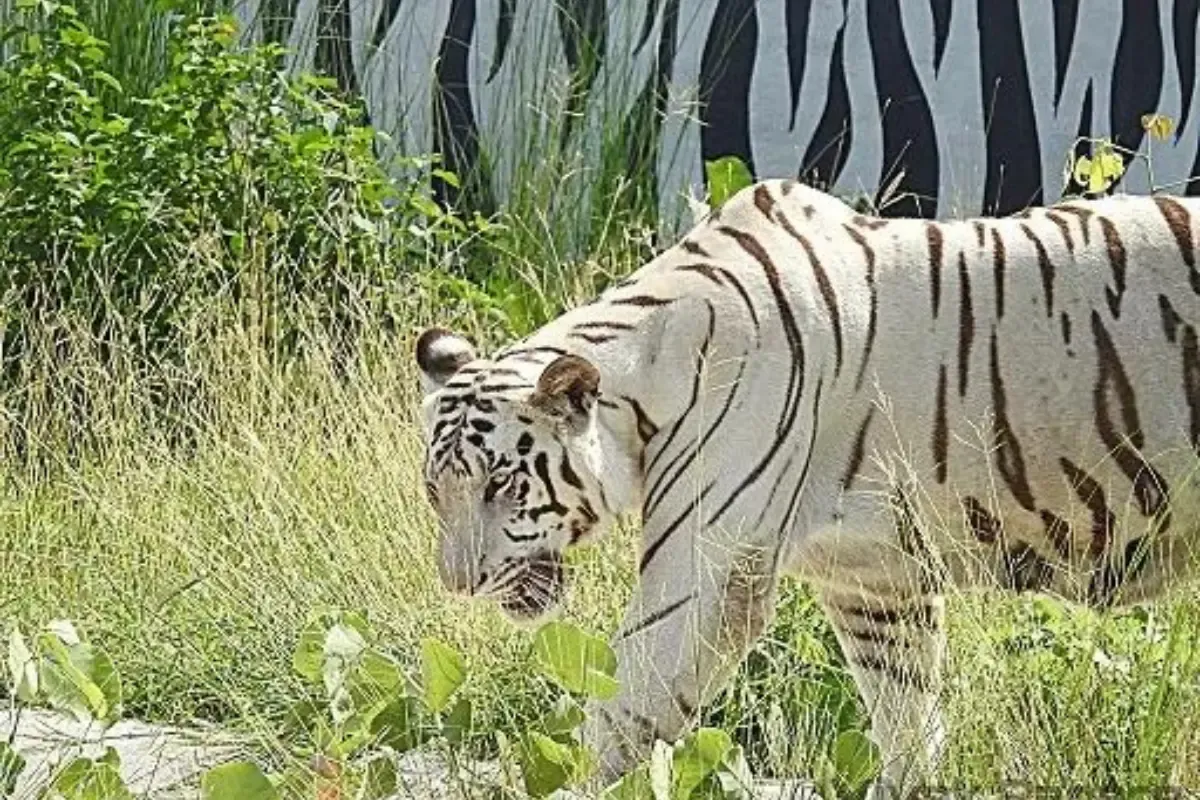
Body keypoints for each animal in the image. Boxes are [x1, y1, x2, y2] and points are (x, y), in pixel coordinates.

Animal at [417, 178, 1200, 796]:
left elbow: (621, 707)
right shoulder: (873, 584)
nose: (455, 585)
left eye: (500, 485)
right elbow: (906, 720)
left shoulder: (705, 575)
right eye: (436, 493)